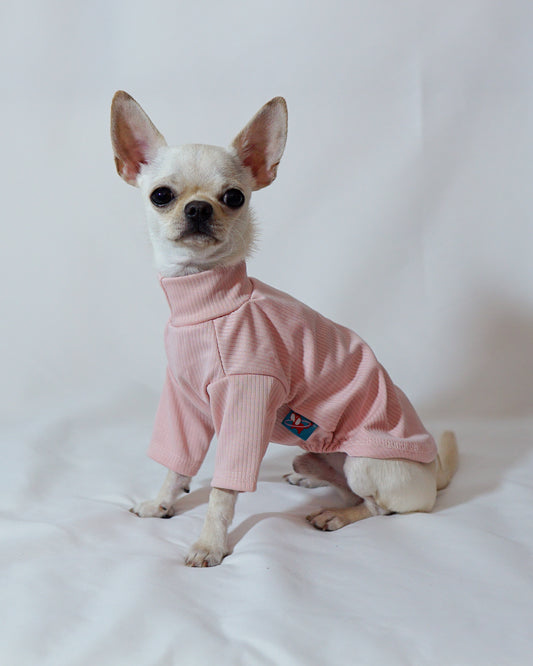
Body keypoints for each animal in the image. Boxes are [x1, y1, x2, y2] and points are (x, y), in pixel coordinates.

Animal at [109, 92, 458, 564]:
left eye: (234, 197)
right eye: (161, 195)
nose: (198, 207)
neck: (206, 304)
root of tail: (433, 474)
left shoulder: (248, 400)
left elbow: (222, 491)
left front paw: (209, 544)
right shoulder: (182, 403)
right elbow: (176, 461)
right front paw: (162, 502)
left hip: (365, 462)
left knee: (376, 507)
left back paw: (335, 516)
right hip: (308, 454)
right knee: (339, 484)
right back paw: (312, 482)